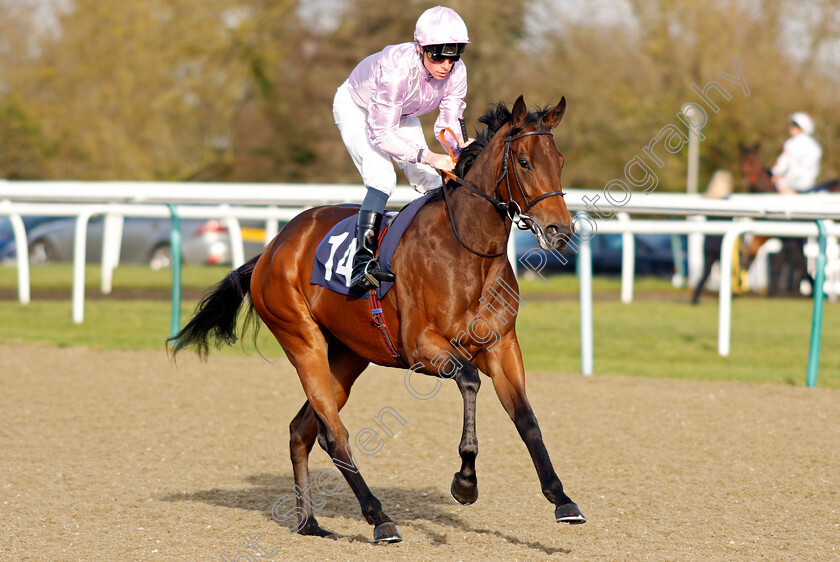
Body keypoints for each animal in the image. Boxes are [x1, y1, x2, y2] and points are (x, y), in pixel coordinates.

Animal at [164, 95, 584, 540]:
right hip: (303, 342)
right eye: (523, 161)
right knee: (334, 434)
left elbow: (527, 419)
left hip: (347, 356)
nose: (559, 231)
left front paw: (561, 497)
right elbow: (470, 381)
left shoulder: (502, 346)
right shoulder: (422, 348)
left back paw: (309, 521)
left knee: (302, 430)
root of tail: (273, 246)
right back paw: (378, 516)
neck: (468, 252)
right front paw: (465, 482)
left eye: (559, 159)